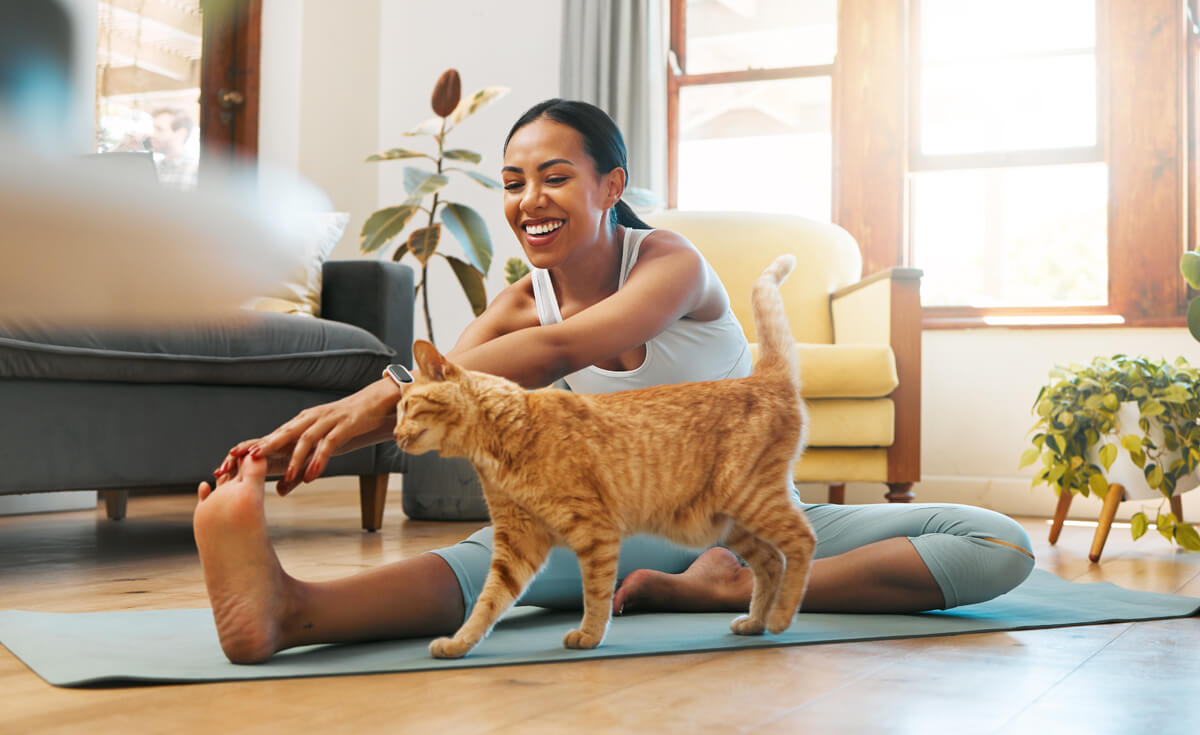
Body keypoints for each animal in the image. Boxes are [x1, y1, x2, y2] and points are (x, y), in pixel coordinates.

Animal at [396, 255, 816, 658]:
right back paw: (756, 622)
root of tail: (764, 377)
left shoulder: (594, 531)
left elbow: (595, 594)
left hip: (750, 497)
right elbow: (488, 602)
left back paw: (781, 618)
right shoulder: (517, 542)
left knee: (801, 541)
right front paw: (459, 643)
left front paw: (589, 635)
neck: (503, 437)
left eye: (407, 406)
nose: (396, 436)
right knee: (770, 561)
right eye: (397, 411)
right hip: (729, 522)